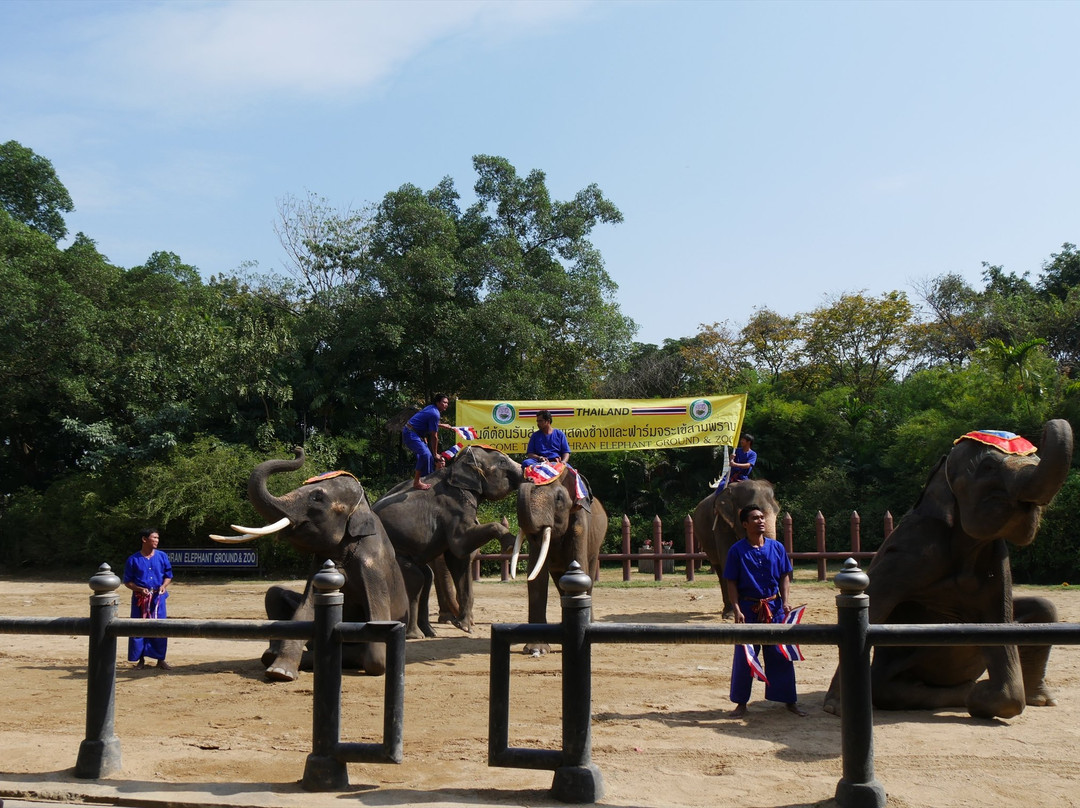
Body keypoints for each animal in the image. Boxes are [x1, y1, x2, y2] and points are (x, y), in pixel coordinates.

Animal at [210, 447, 408, 682]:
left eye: (317, 497)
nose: (297, 449)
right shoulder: (319, 563)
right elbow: (305, 610)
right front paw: (280, 672)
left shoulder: (372, 565)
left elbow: (376, 654)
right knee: (273, 593)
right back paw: (271, 654)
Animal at [372, 445, 523, 639]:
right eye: (503, 462)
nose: (526, 469)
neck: (455, 467)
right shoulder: (454, 509)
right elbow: (460, 546)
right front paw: (510, 544)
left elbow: (458, 560)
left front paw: (464, 627)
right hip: (393, 551)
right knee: (417, 579)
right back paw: (415, 635)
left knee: (427, 577)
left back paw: (431, 632)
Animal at [512, 465, 607, 656]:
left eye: (559, 498)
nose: (528, 478)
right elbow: (536, 574)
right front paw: (536, 650)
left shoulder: (579, 522)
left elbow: (579, 563)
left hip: (596, 546)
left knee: (590, 572)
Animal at [691, 479, 781, 618]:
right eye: (754, 516)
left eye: (777, 511)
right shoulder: (721, 522)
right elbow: (727, 558)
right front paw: (735, 614)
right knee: (719, 568)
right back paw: (728, 612)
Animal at [823, 419, 1074, 719]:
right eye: (988, 467)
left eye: (1035, 459)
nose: (1047, 427)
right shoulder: (908, 553)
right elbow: (876, 606)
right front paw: (836, 709)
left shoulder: (997, 558)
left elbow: (999, 622)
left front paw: (985, 697)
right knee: (890, 691)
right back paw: (964, 692)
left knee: (1044, 607)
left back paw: (1040, 699)